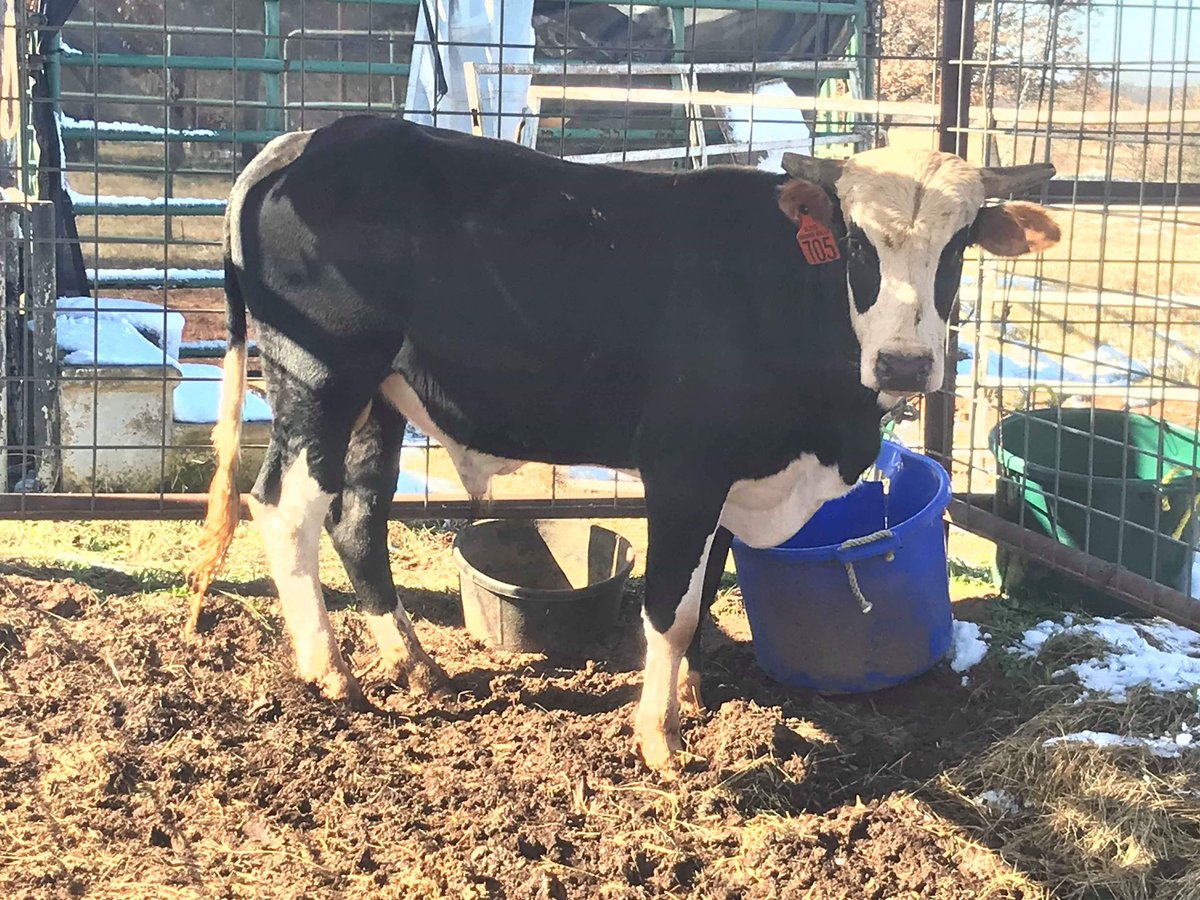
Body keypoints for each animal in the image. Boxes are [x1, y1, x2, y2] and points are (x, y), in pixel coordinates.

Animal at [187, 115, 1059, 770]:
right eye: (854, 244)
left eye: (959, 246)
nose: (906, 362)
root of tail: (301, 142)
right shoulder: (683, 465)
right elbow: (669, 605)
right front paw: (659, 738)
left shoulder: (732, 478)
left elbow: (706, 587)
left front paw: (688, 695)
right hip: (321, 377)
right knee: (286, 507)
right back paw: (330, 671)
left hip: (380, 399)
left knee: (358, 518)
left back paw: (415, 665)